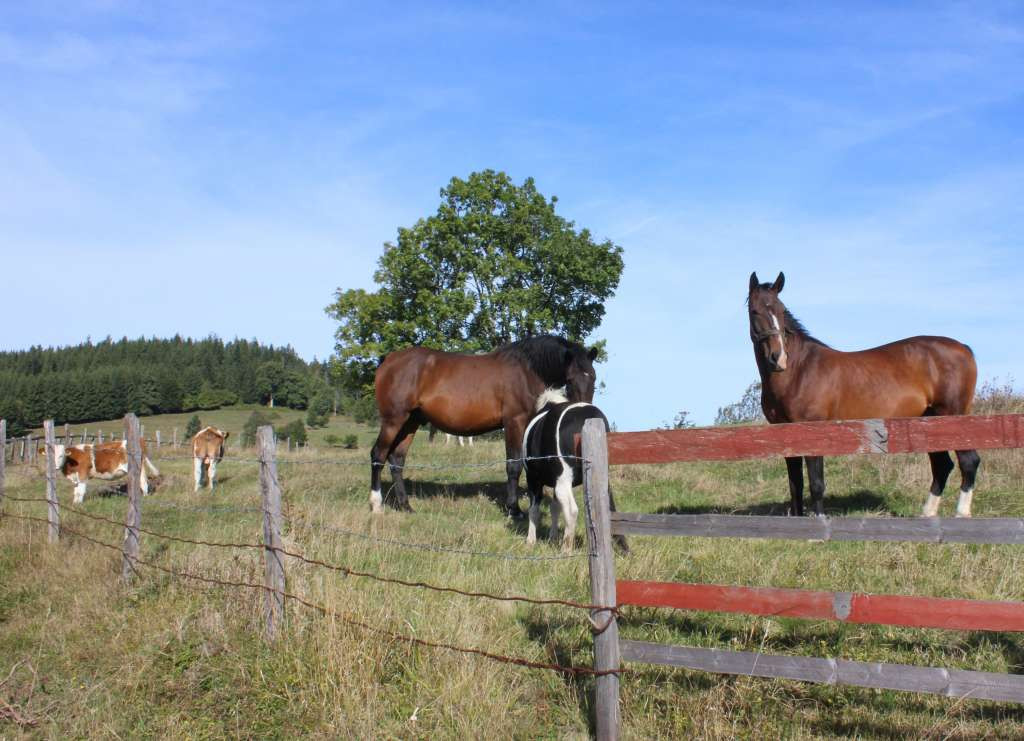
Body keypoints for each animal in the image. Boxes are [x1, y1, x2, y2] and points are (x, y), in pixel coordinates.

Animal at [368, 335, 598, 515]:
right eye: (570, 380)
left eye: (593, 378)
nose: (585, 410)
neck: (526, 371)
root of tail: (388, 360)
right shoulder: (514, 422)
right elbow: (513, 465)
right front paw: (514, 509)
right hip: (393, 420)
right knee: (378, 455)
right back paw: (376, 504)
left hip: (411, 422)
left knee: (397, 459)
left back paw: (405, 505)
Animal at [749, 270, 978, 517]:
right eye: (755, 311)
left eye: (782, 310)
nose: (778, 358)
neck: (798, 370)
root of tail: (964, 348)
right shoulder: (785, 435)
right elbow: (795, 485)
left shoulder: (813, 432)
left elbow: (816, 484)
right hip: (930, 421)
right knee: (942, 465)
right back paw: (927, 513)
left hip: (952, 418)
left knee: (969, 462)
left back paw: (961, 513)